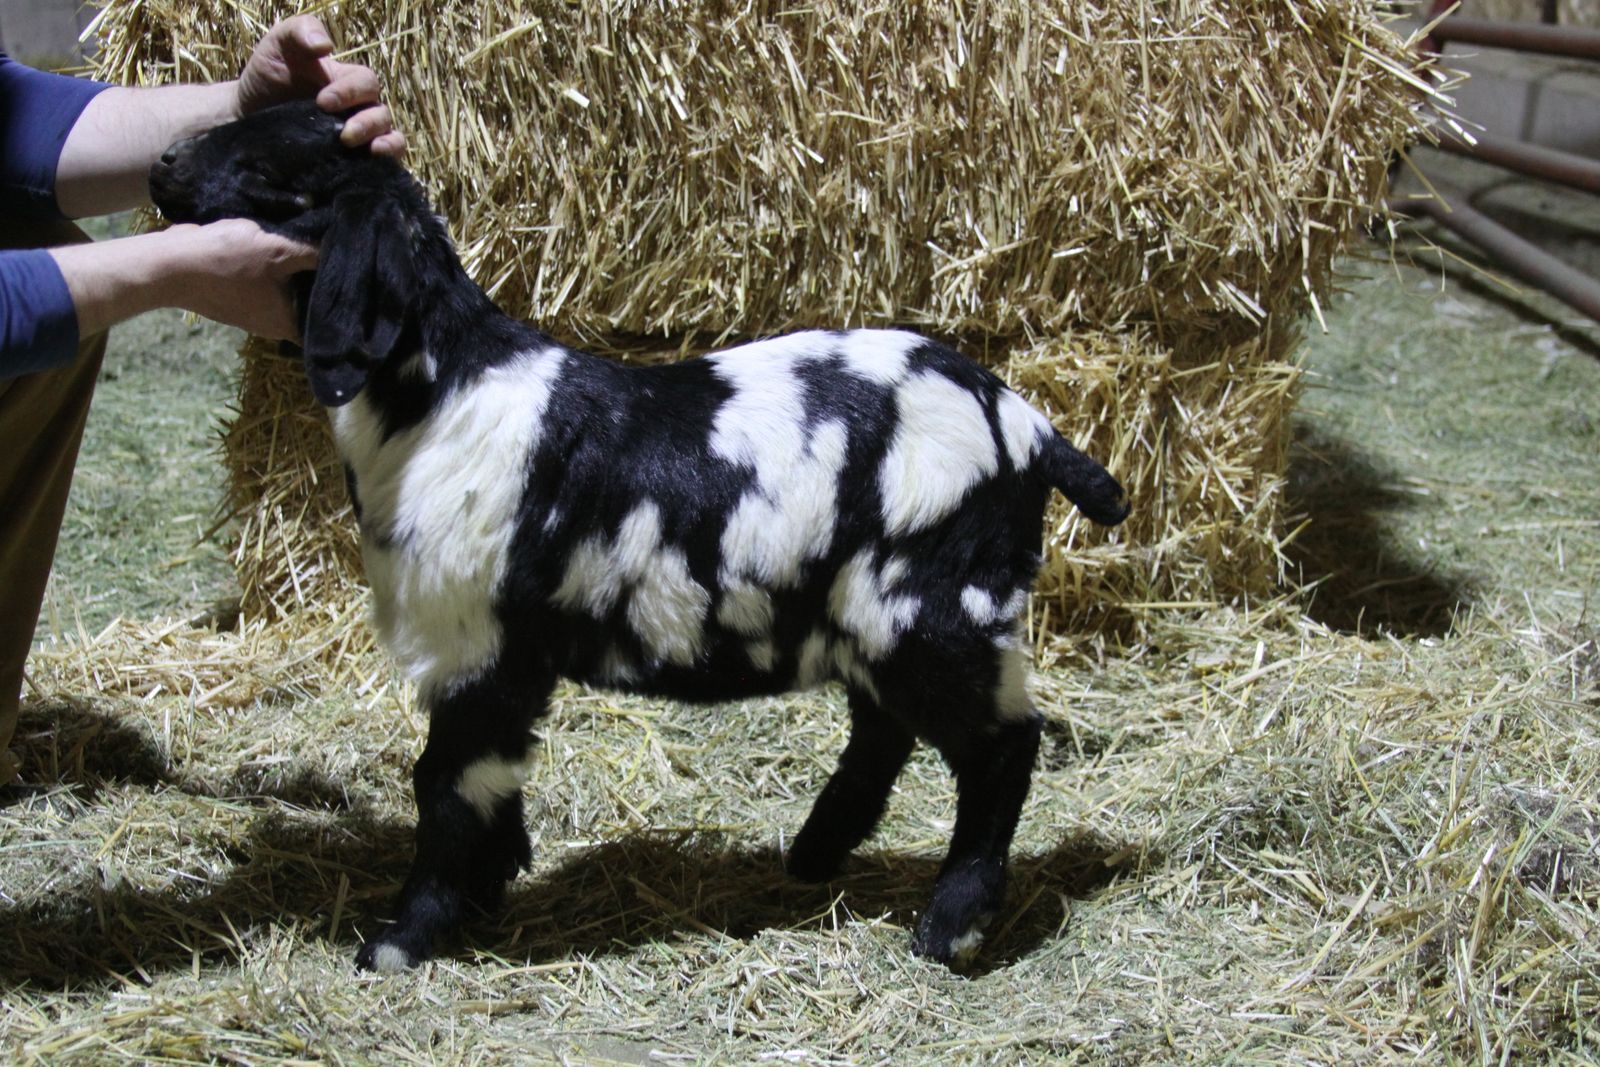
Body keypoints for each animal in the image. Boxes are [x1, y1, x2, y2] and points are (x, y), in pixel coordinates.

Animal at [149, 101, 1131, 973]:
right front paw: (489, 890)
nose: (161, 165)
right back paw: (812, 855)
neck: (439, 393)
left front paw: (405, 938)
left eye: (270, 168)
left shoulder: (477, 644)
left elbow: (447, 784)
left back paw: (951, 924)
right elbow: (494, 780)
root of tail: (1027, 424)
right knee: (884, 729)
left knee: (1002, 745)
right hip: (869, 613)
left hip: (932, 607)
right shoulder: (503, 663)